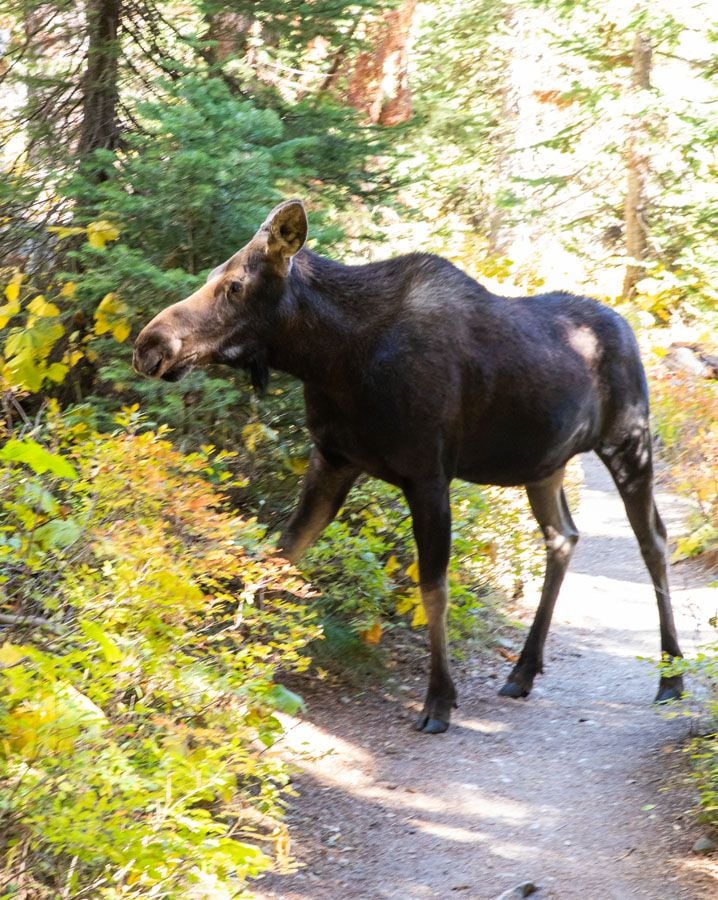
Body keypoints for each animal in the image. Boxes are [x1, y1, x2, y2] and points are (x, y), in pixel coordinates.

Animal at [135, 200, 688, 736]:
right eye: (213, 274)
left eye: (235, 284)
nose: (150, 344)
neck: (331, 359)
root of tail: (630, 331)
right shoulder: (333, 460)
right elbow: (279, 555)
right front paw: (230, 661)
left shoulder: (428, 476)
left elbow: (433, 590)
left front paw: (439, 700)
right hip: (543, 466)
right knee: (563, 536)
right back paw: (524, 670)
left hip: (629, 443)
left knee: (654, 541)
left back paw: (672, 677)